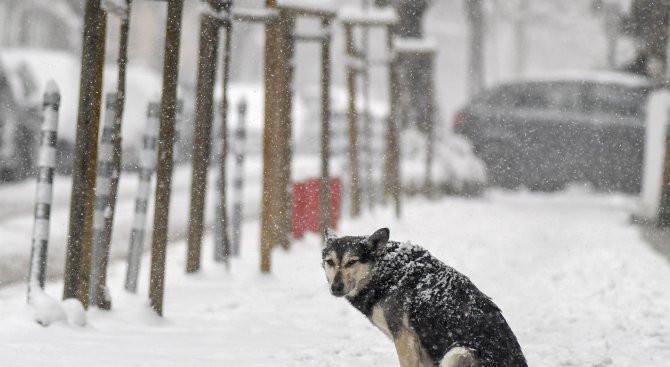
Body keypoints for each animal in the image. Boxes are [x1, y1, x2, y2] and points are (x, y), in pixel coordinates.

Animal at [322, 229, 528, 366]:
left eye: (352, 262)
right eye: (330, 262)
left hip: (457, 353)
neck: (386, 273)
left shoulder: (405, 340)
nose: (336, 287)